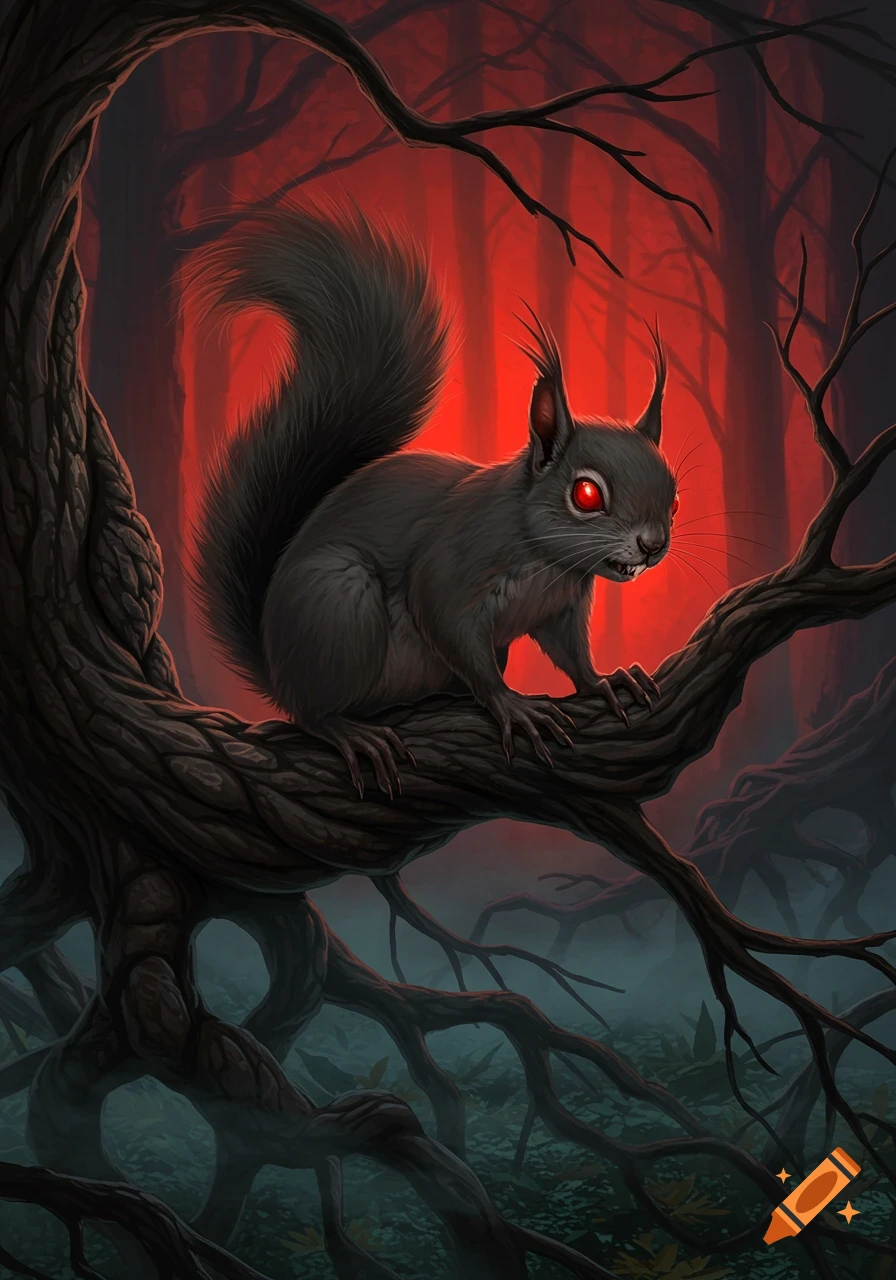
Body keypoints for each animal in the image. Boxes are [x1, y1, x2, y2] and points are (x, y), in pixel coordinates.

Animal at [189, 204, 677, 797]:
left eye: (674, 494)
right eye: (586, 494)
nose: (653, 545)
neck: (547, 562)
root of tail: (275, 661)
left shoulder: (561, 607)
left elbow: (571, 653)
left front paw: (605, 680)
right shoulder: (452, 565)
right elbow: (446, 620)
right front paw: (512, 705)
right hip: (338, 601)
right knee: (311, 712)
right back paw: (352, 731)